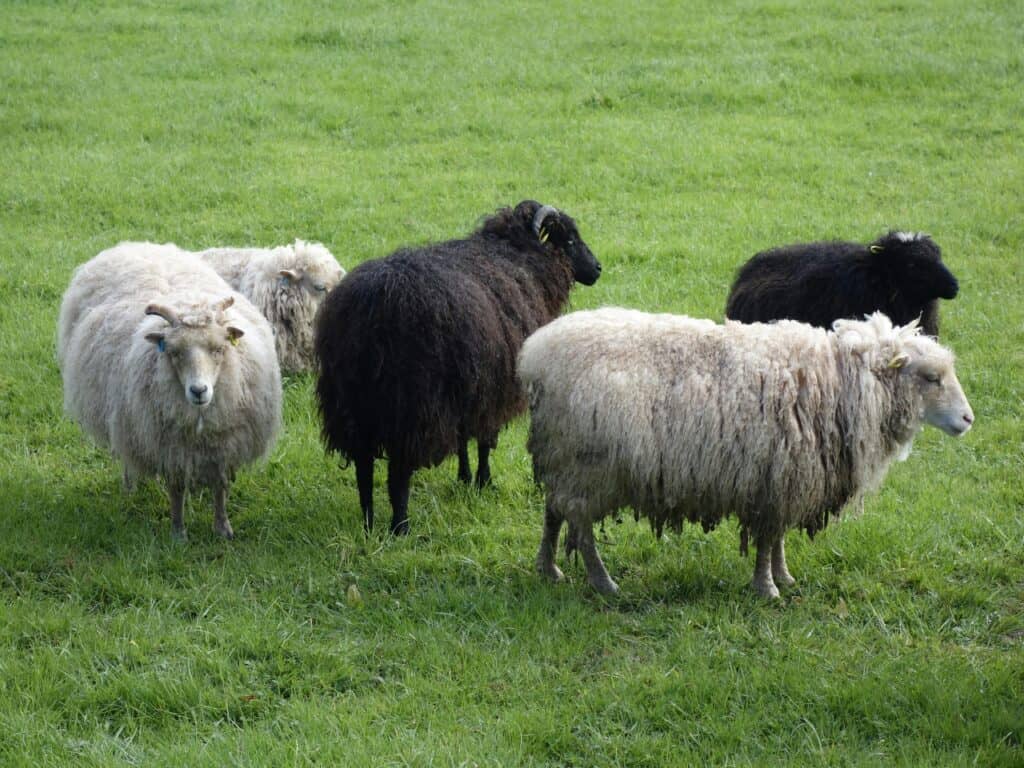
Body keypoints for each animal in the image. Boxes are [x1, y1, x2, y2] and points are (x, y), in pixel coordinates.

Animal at [58, 242, 282, 540]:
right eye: (174, 353)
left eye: (219, 349)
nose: (198, 390)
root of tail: (132, 244)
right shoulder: (168, 445)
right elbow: (176, 490)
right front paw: (178, 532)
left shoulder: (224, 445)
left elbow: (220, 488)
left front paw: (222, 528)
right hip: (126, 420)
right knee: (126, 452)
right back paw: (130, 487)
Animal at [315, 200, 602, 535]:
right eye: (568, 240)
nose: (598, 269)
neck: (519, 257)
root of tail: (371, 303)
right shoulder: (496, 387)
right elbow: (485, 441)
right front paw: (484, 482)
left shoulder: (468, 385)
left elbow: (464, 439)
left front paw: (464, 478)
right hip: (411, 405)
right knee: (398, 472)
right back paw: (401, 528)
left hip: (353, 403)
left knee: (363, 465)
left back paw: (369, 524)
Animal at [519, 309, 973, 598]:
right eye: (931, 378)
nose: (969, 419)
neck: (837, 384)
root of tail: (537, 356)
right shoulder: (778, 477)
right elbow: (769, 539)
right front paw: (767, 588)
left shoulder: (785, 480)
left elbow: (778, 540)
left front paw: (784, 577)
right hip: (587, 466)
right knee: (580, 528)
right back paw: (604, 584)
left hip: (562, 459)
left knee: (552, 513)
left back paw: (548, 569)